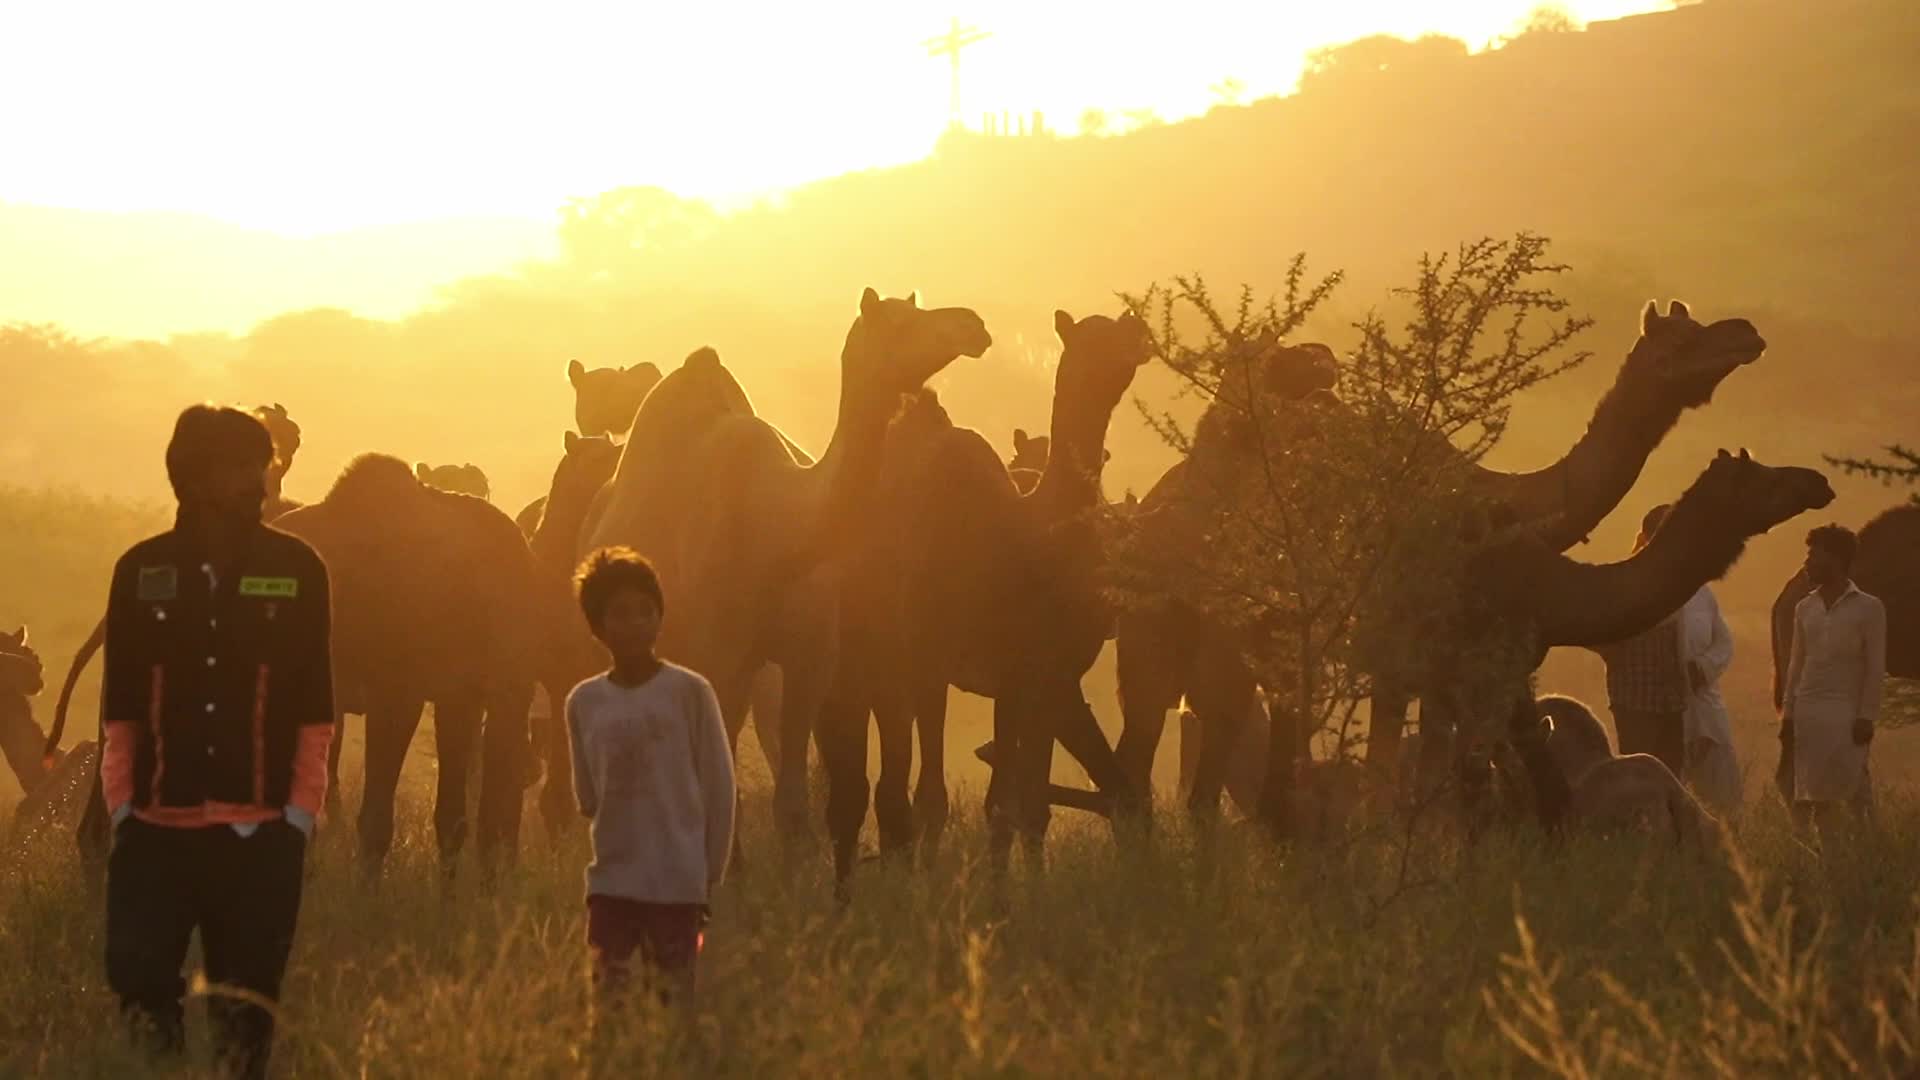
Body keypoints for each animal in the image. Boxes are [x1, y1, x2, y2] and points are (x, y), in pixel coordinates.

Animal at [584, 289, 992, 847]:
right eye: (899, 321)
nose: (973, 326)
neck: (775, 529)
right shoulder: (721, 659)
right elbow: (726, 794)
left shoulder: (808, 661)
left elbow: (792, 805)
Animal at [817, 309, 1153, 888]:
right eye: (1091, 338)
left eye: (1119, 330)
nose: (1140, 338)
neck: (1029, 538)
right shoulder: (937, 664)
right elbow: (938, 798)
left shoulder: (1036, 676)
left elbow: (1017, 804)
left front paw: (1015, 897)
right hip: (868, 661)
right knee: (866, 788)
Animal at [1119, 301, 1769, 822]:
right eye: (1678, 342)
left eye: (1697, 323)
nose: (1746, 334)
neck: (1503, 502)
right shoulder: (1403, 662)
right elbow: (1396, 780)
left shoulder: (1443, 673)